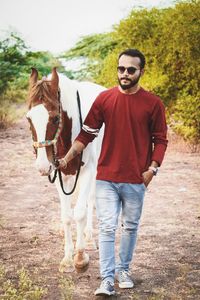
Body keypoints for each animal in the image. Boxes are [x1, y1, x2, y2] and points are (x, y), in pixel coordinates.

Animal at [26, 67, 106, 272]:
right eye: (28, 118)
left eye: (55, 118)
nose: (42, 166)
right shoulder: (59, 172)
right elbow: (67, 216)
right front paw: (68, 258)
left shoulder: (87, 172)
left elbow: (80, 213)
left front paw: (80, 257)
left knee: (90, 200)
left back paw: (89, 238)